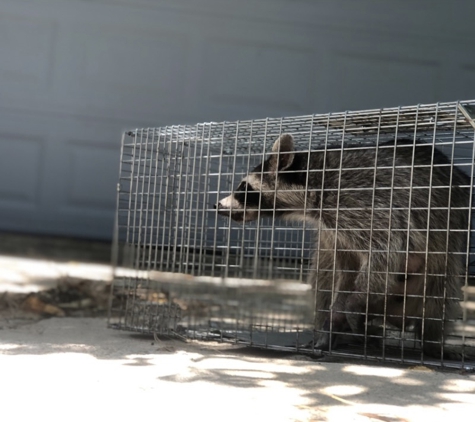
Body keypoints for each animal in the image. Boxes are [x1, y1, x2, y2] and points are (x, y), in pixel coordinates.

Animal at [216, 134, 472, 356]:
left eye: (243, 187)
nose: (217, 206)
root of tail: (394, 318)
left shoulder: (364, 201)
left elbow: (386, 251)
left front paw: (352, 303)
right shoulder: (334, 231)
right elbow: (347, 268)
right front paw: (336, 315)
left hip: (442, 258)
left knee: (439, 295)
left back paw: (431, 343)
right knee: (324, 279)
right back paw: (330, 330)